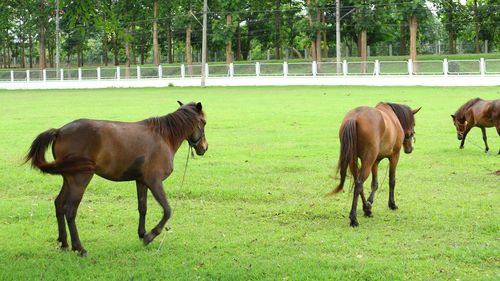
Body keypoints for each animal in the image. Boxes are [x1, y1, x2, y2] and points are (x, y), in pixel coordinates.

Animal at [24, 101, 208, 256]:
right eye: (204, 123)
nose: (204, 148)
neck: (163, 137)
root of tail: (59, 131)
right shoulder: (154, 181)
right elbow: (168, 210)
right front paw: (151, 236)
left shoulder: (141, 181)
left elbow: (143, 208)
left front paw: (142, 234)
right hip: (80, 180)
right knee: (69, 210)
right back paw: (79, 247)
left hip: (69, 179)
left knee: (59, 204)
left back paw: (64, 242)